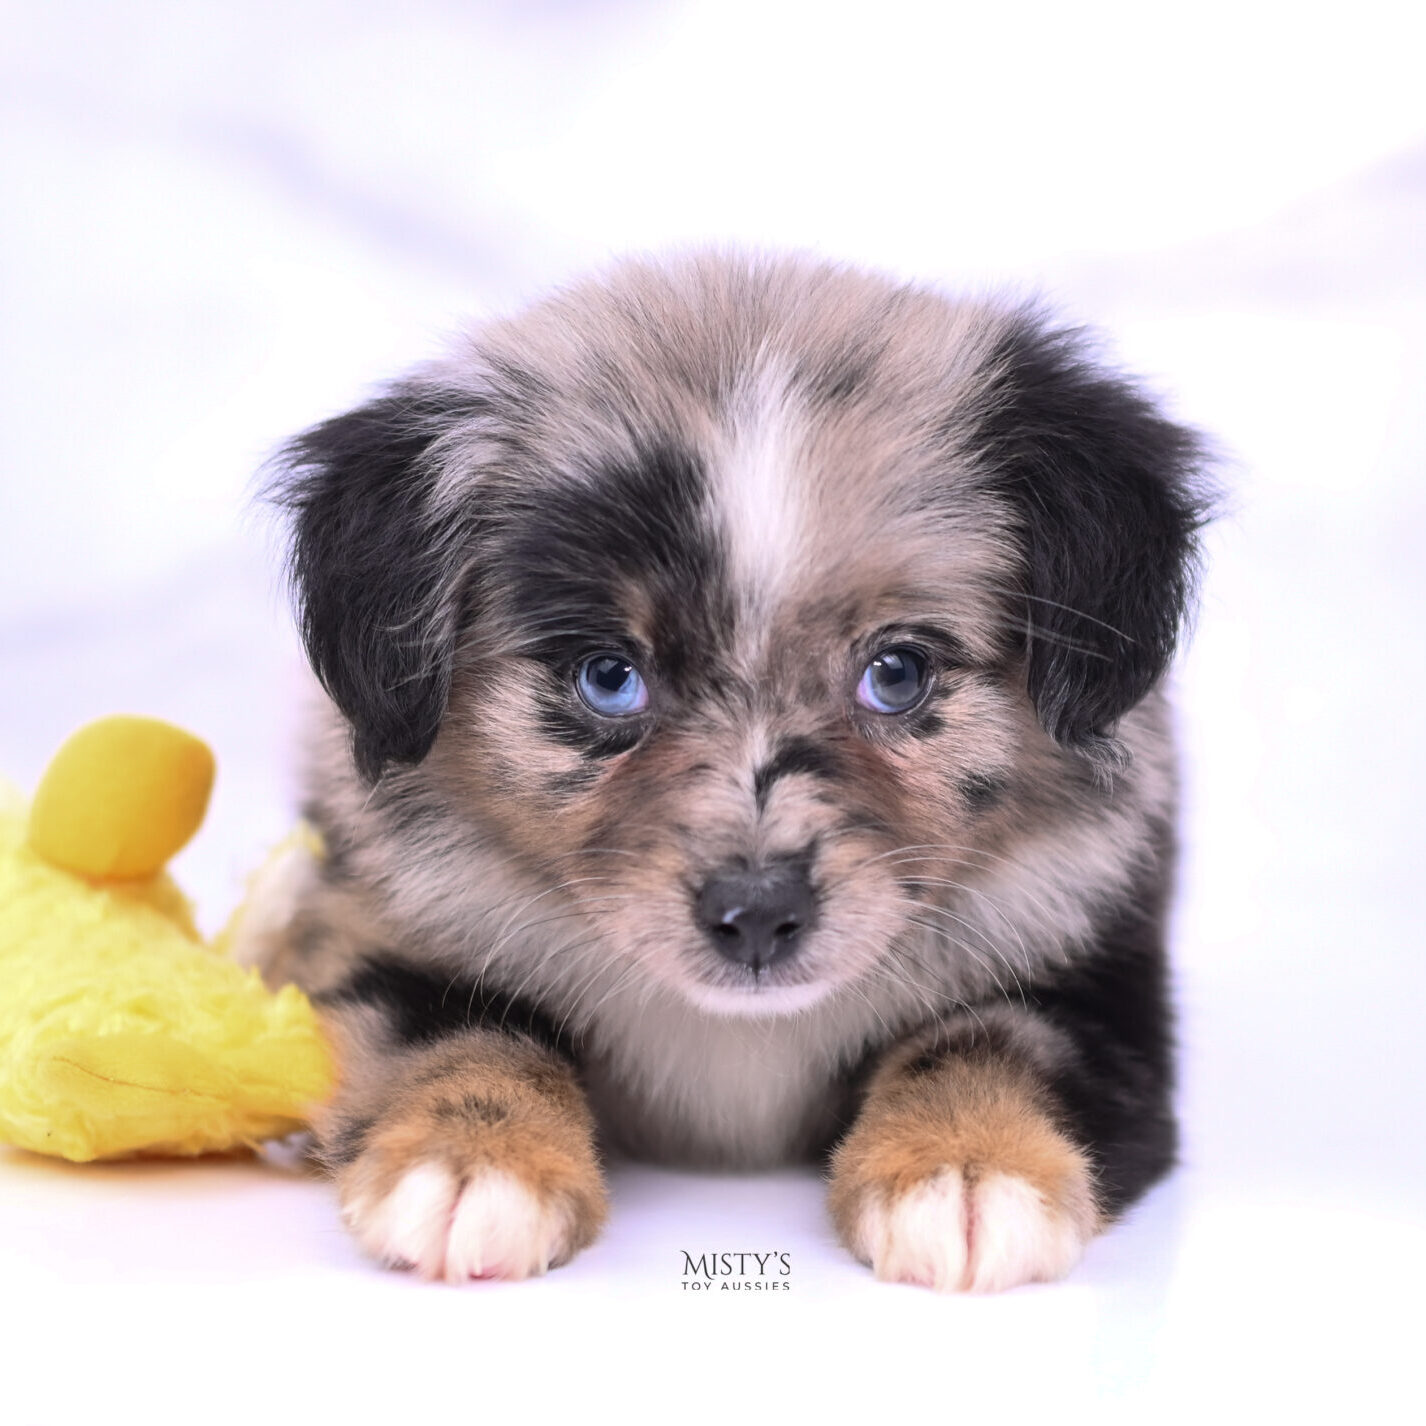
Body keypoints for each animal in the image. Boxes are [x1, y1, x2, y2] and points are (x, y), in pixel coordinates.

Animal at [250, 253, 1209, 1294]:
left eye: (898, 672)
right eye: (609, 676)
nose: (756, 917)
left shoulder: (1096, 973)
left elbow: (995, 1040)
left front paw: (967, 1168)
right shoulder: (373, 930)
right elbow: (462, 1030)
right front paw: (472, 1160)